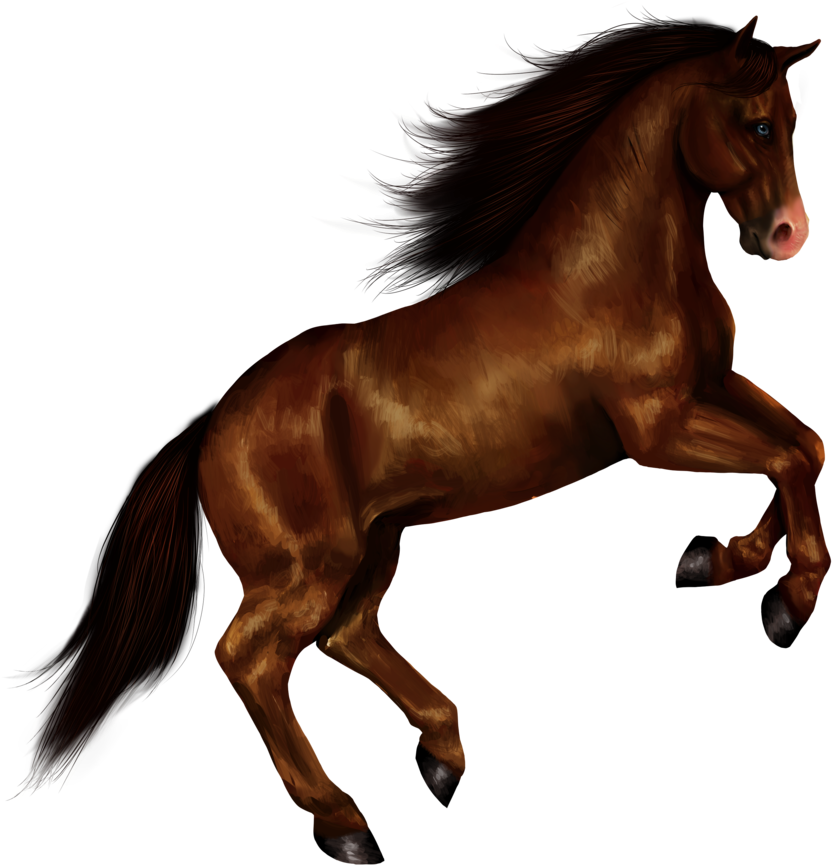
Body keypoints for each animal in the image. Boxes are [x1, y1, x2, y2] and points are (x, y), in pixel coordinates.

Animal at [13, 12, 824, 864]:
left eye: (795, 123)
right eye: (757, 125)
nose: (791, 234)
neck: (610, 275)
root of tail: (211, 425)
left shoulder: (716, 387)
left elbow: (806, 445)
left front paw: (724, 562)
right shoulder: (658, 426)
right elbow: (784, 457)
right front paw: (790, 600)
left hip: (379, 537)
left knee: (347, 635)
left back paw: (443, 756)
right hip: (306, 565)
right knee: (251, 658)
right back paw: (345, 821)